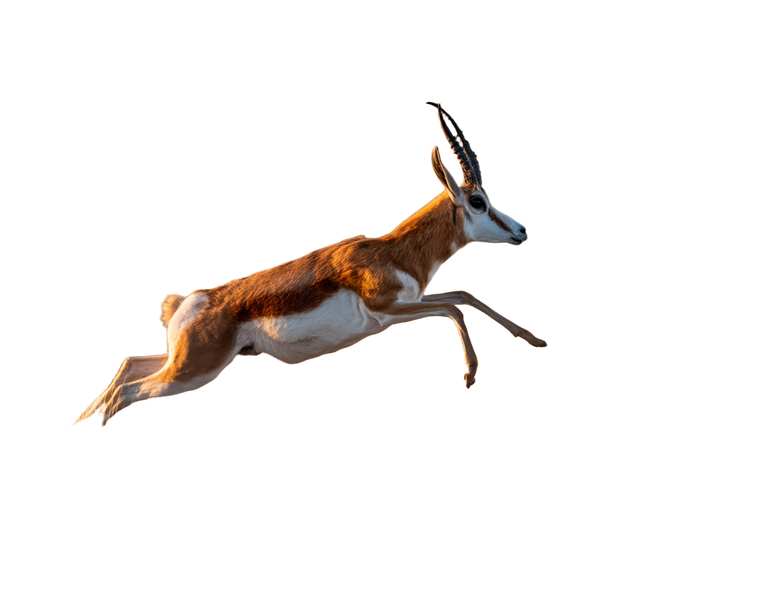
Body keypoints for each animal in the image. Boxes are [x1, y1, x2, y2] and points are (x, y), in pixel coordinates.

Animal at [72, 101, 547, 428]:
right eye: (478, 201)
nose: (521, 231)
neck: (394, 252)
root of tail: (189, 303)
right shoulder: (389, 309)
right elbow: (454, 303)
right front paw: (471, 374)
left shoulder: (404, 306)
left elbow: (461, 295)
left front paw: (536, 342)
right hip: (193, 372)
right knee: (129, 391)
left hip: (184, 364)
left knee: (128, 367)